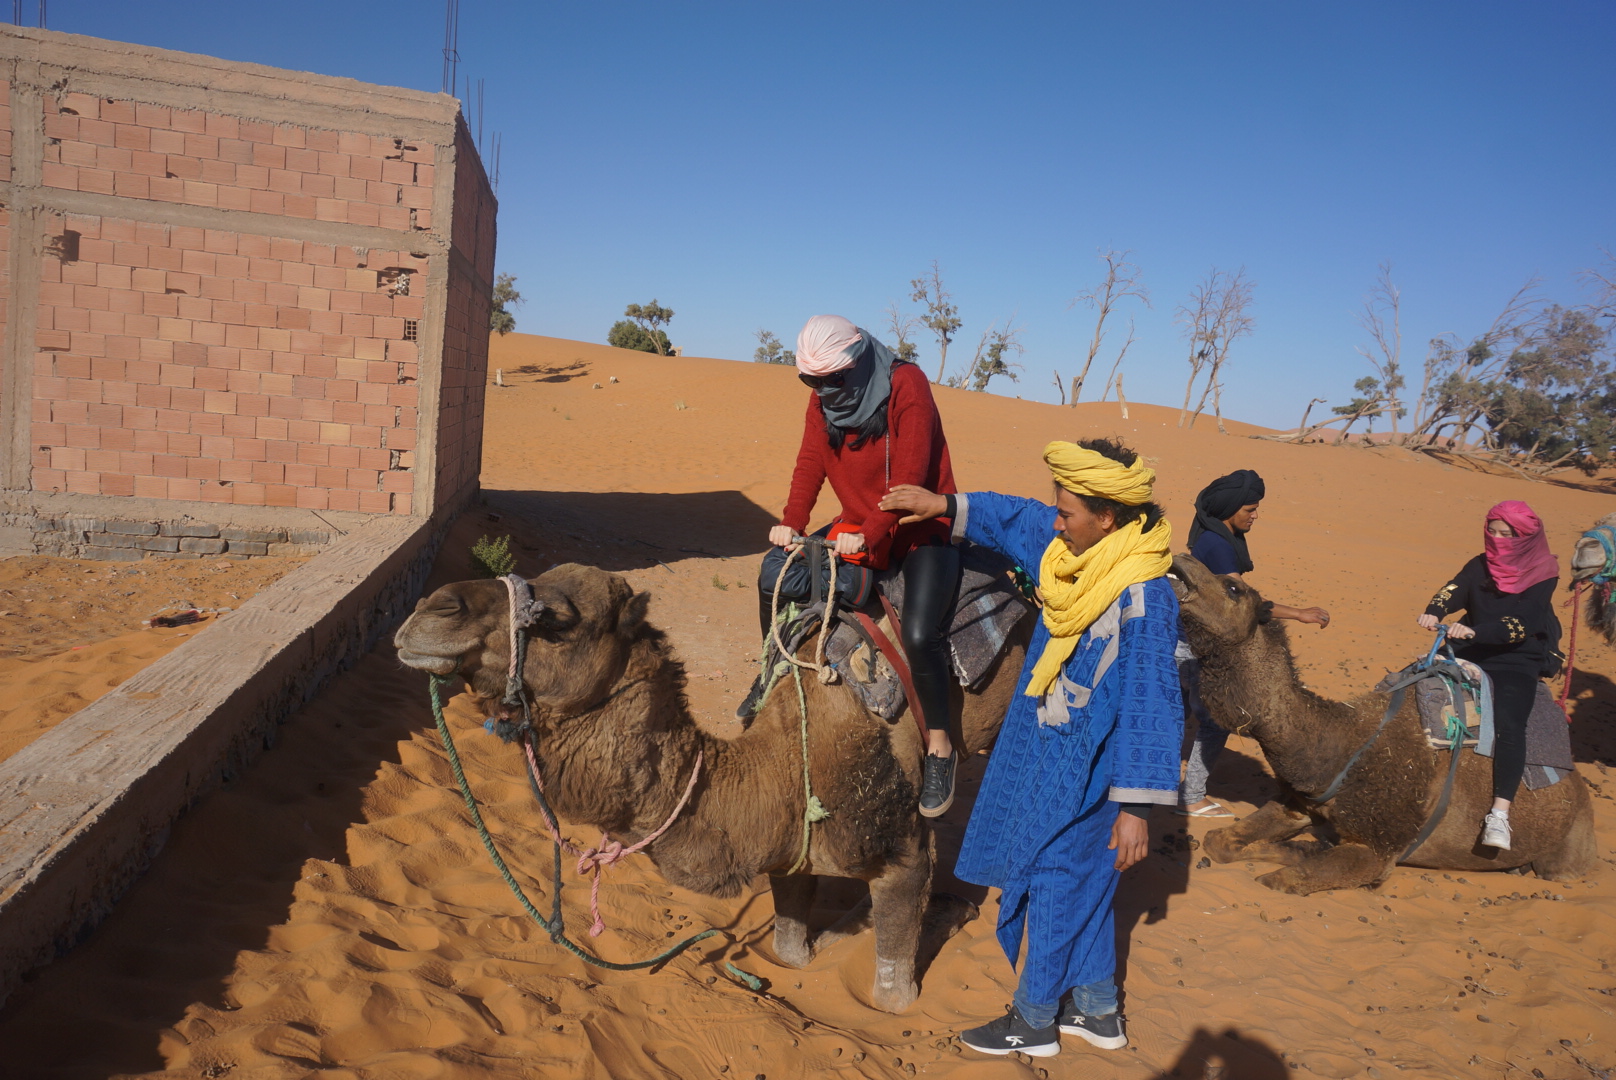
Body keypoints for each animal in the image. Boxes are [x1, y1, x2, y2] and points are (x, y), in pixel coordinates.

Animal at [1169, 549, 1596, 892]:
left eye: (1233, 588)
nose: (1181, 558)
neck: (1340, 748)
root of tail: (1579, 787)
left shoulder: (1378, 848)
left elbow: (1287, 875)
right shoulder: (1298, 802)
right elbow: (1221, 842)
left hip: (1568, 851)